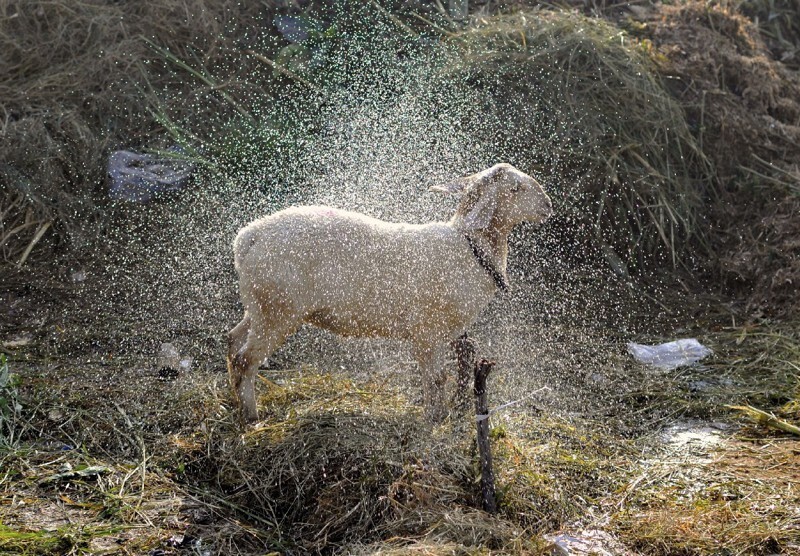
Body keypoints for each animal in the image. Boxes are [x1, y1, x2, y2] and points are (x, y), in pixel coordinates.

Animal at [225, 163, 552, 424]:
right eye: (516, 188)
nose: (547, 204)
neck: (469, 248)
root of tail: (247, 238)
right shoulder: (427, 331)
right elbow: (437, 378)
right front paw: (435, 419)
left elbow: (434, 378)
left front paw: (436, 415)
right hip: (277, 309)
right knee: (245, 359)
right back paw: (253, 417)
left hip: (258, 305)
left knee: (233, 340)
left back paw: (236, 404)